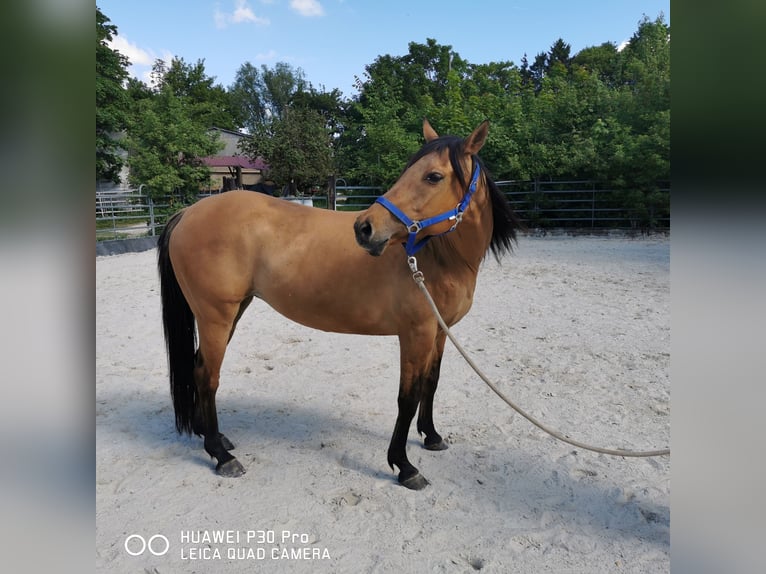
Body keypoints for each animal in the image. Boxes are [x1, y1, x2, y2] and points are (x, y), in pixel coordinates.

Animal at [157, 119, 520, 489]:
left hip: (229, 313)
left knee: (199, 369)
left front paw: (431, 437)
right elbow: (408, 397)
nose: (365, 228)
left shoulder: (440, 332)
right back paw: (221, 455)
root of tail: (188, 212)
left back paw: (211, 437)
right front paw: (404, 465)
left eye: (433, 176)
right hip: (216, 316)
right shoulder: (415, 334)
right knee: (207, 376)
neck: (436, 258)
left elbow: (430, 384)